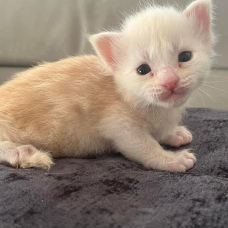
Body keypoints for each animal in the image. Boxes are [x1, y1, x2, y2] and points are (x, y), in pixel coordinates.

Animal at [0, 0, 214, 171]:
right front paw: (172, 160)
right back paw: (23, 152)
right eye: (143, 70)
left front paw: (173, 133)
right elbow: (144, 146)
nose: (170, 81)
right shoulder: (118, 124)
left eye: (185, 57)